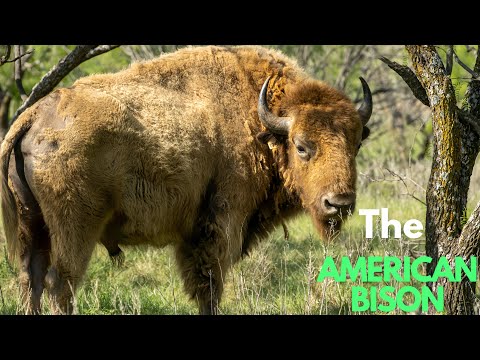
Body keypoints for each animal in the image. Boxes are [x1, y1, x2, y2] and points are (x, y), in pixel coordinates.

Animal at [0, 45, 372, 316]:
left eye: (356, 143)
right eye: (302, 146)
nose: (339, 203)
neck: (258, 120)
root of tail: (34, 114)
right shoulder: (219, 226)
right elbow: (209, 287)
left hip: (31, 225)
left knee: (31, 279)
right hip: (75, 228)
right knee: (60, 282)